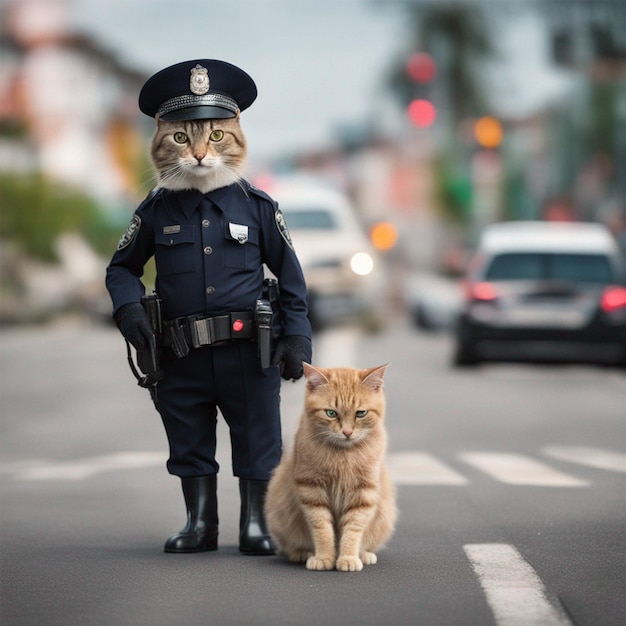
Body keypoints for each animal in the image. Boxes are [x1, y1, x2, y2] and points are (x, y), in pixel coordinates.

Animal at [264, 360, 394, 572]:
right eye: (331, 413)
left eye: (361, 413)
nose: (347, 432)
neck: (343, 454)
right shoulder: (311, 490)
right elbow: (322, 528)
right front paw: (324, 557)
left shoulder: (363, 493)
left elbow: (353, 529)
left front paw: (348, 557)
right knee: (289, 547)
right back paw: (303, 553)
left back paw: (363, 554)